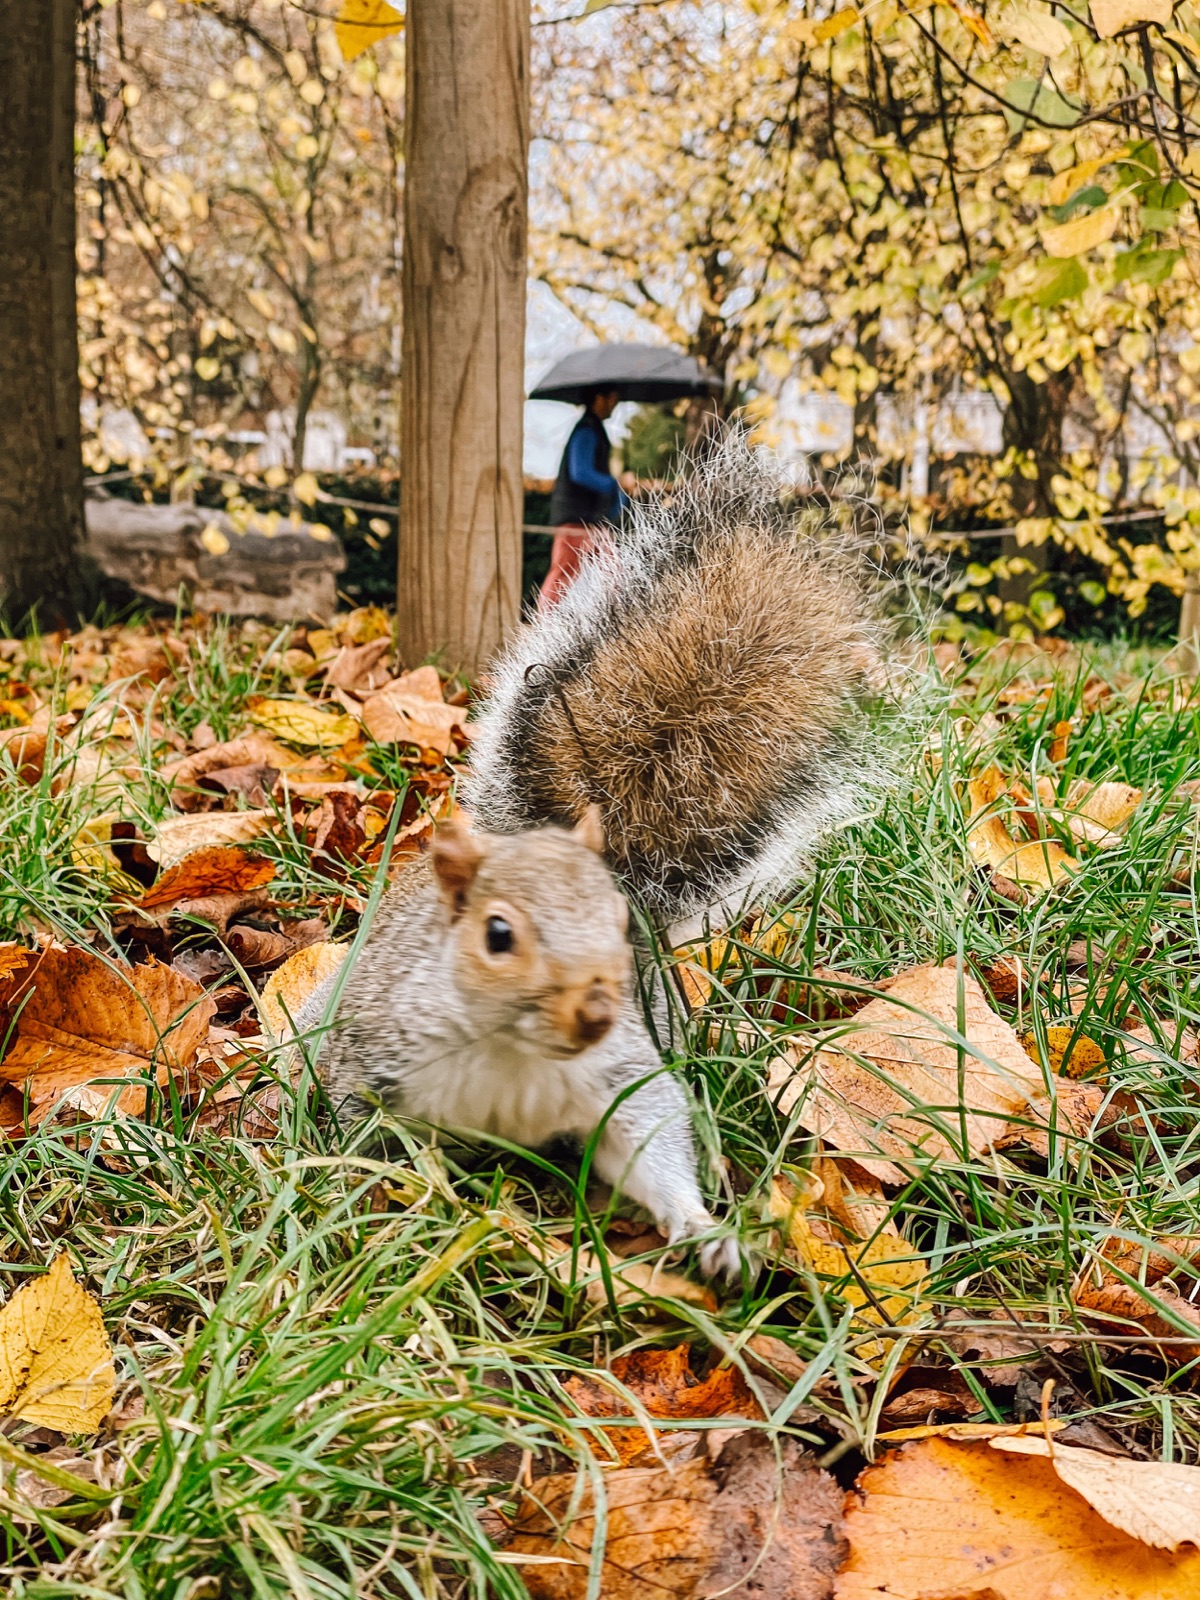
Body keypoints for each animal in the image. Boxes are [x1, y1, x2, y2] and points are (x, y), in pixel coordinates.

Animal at [297, 436, 889, 1279]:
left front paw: (704, 1232)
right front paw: (393, 1200)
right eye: (497, 935)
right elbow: (362, 1133)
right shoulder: (371, 1051)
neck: (514, 1057)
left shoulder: (623, 1080)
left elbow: (653, 1148)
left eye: (617, 926)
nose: (596, 1008)